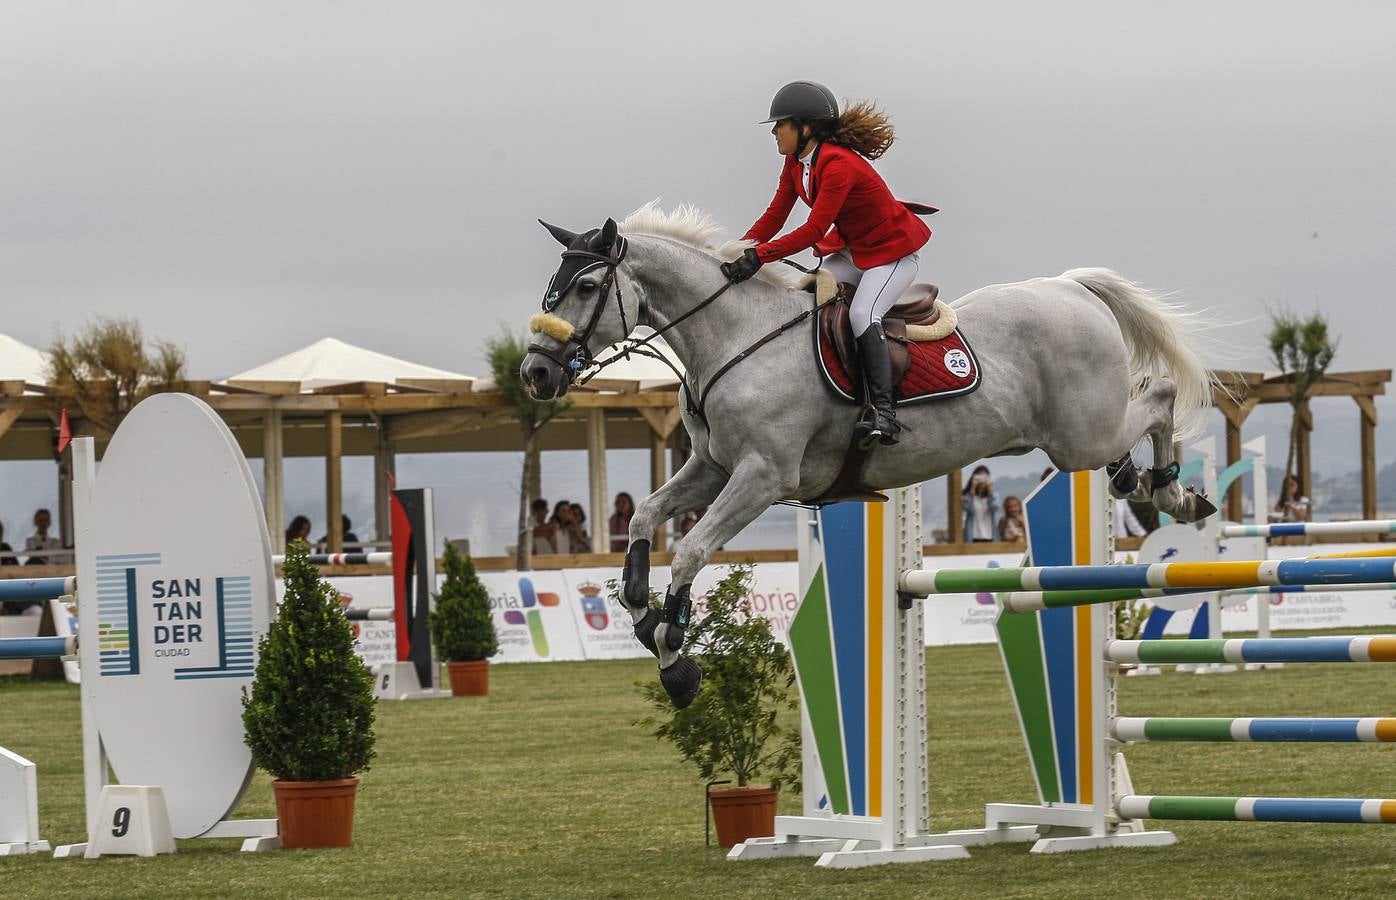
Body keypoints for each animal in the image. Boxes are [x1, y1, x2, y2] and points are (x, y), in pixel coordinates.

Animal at [519, 203, 1217, 708]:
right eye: (551, 287)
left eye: (586, 285)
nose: (535, 374)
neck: (736, 339)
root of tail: (1072, 289)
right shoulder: (712, 467)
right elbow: (643, 520)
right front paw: (645, 621)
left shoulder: (761, 476)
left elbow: (690, 550)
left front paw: (675, 660)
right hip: (1080, 437)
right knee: (1132, 434)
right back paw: (1142, 481)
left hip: (1078, 436)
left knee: (1160, 394)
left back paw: (1175, 490)